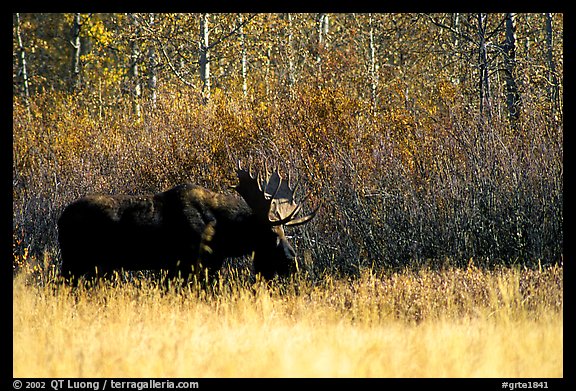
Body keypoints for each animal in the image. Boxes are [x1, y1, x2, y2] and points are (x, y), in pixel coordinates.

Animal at [58, 162, 320, 284]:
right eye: (271, 233)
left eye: (285, 231)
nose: (293, 261)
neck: (225, 236)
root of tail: (61, 219)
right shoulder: (189, 264)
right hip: (74, 262)